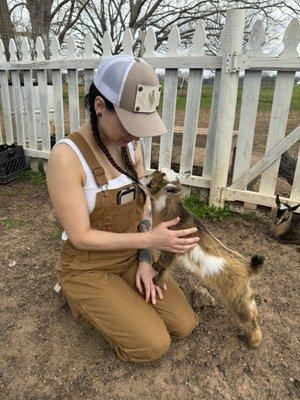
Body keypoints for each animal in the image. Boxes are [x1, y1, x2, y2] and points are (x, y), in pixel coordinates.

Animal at [142, 169, 264, 346]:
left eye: (151, 184)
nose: (141, 177)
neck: (173, 212)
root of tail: (248, 267)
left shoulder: (173, 246)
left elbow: (166, 264)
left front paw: (157, 281)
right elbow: (162, 262)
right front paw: (156, 267)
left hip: (235, 295)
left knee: (248, 315)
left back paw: (253, 340)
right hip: (242, 292)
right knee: (252, 307)